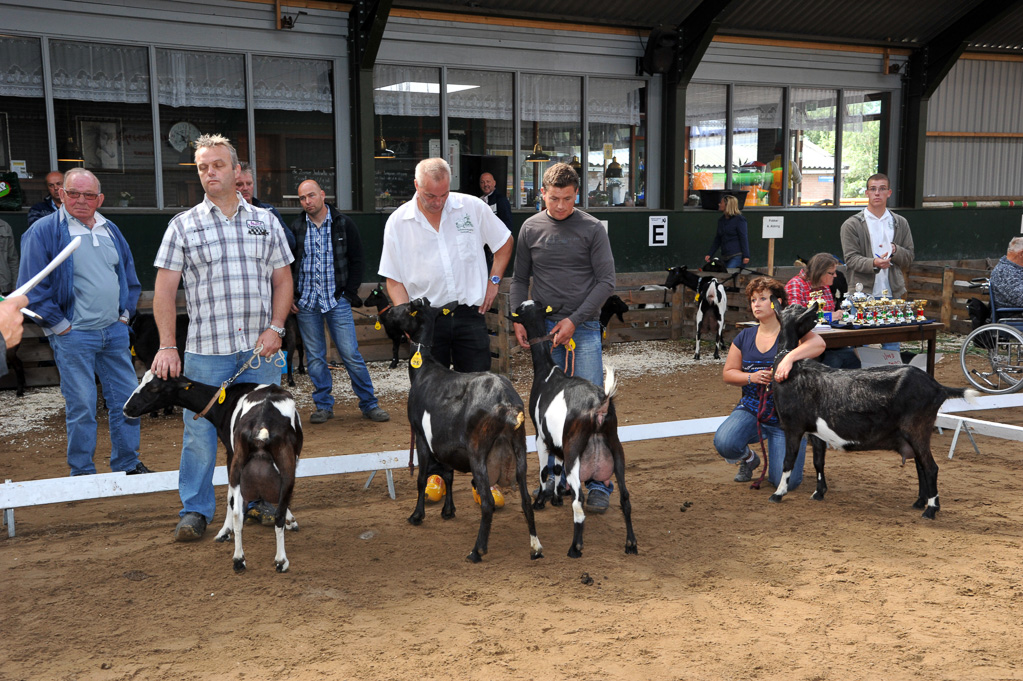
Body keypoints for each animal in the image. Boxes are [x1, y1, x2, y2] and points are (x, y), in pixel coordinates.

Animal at [122, 374, 300, 568]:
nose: (127, 408)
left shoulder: (234, 453)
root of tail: (262, 425)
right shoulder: (232, 453)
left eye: (154, 387)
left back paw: (254, 558)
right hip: (264, 463)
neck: (223, 403)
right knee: (251, 511)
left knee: (247, 510)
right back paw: (266, 559)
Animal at [403, 294, 544, 560]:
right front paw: (448, 511)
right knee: (525, 501)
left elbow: (421, 478)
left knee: (487, 503)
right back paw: (535, 547)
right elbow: (448, 475)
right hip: (519, 449)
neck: (425, 367)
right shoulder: (445, 442)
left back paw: (477, 550)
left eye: (406, 309)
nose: (385, 314)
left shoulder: (422, 436)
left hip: (478, 451)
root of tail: (507, 406)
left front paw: (417, 515)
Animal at [515, 300, 634, 556]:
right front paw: (557, 496)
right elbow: (556, 468)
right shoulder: (558, 440)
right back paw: (631, 544)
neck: (547, 372)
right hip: (615, 449)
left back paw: (575, 547)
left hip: (575, 453)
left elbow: (544, 470)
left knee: (579, 504)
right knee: (625, 498)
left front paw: (541, 501)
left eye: (520, 311)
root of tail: (600, 403)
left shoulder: (540, 436)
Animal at [769, 300, 977, 517]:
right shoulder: (815, 431)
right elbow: (818, 461)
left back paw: (931, 509)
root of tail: (937, 387)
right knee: (921, 466)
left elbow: (788, 461)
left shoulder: (792, 427)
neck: (790, 365)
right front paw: (819, 492)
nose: (820, 315)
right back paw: (920, 502)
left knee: (930, 467)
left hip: (916, 429)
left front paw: (778, 493)